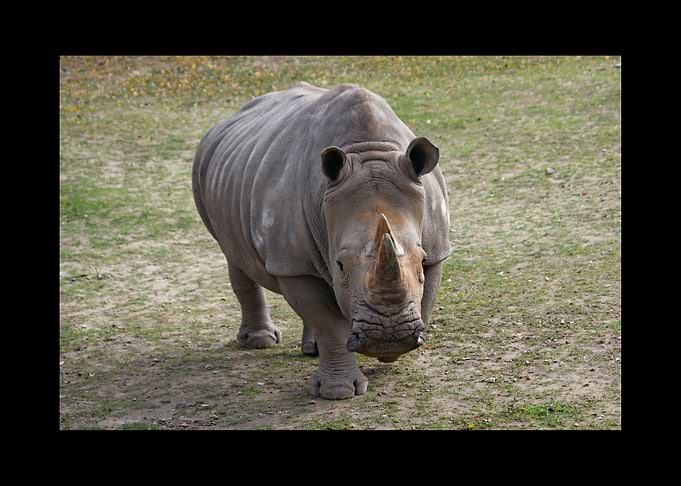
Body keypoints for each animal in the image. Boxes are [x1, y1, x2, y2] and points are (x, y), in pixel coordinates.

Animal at [192, 82, 450, 399]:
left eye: (422, 260)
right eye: (339, 265)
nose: (388, 335)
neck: (367, 150)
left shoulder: (438, 247)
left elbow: (424, 298)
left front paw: (390, 352)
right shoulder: (291, 265)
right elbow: (328, 323)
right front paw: (337, 392)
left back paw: (311, 350)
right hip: (205, 176)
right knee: (234, 258)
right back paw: (260, 342)